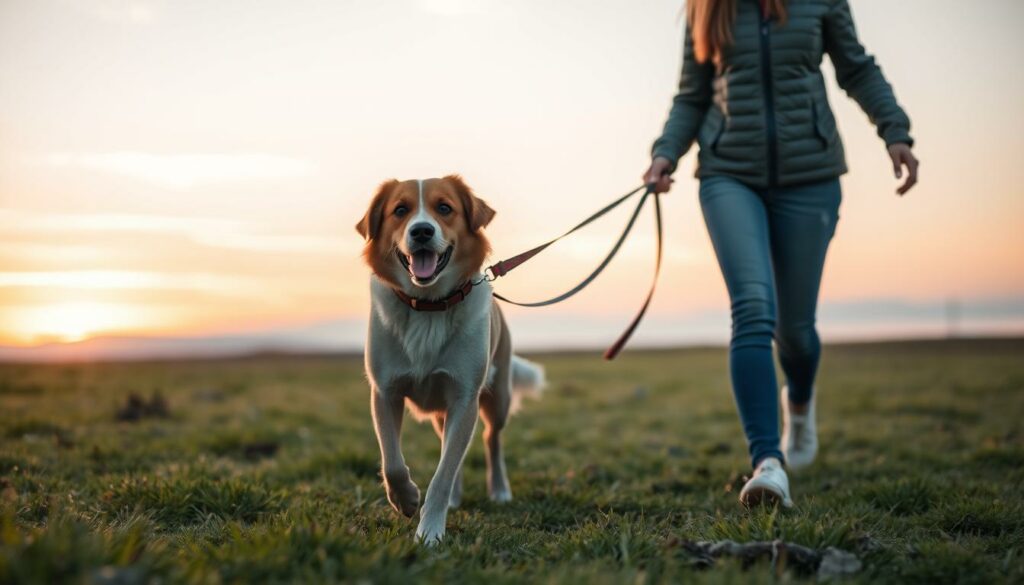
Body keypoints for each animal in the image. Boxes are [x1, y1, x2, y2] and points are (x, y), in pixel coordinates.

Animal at [356, 175, 544, 545]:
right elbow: (393, 463)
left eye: (445, 208)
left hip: (498, 398)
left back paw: (499, 490)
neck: (428, 305)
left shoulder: (464, 397)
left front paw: (429, 533)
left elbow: (442, 476)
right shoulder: (384, 392)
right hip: (441, 412)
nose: (422, 231)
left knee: (490, 440)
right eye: (400, 210)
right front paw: (406, 499)